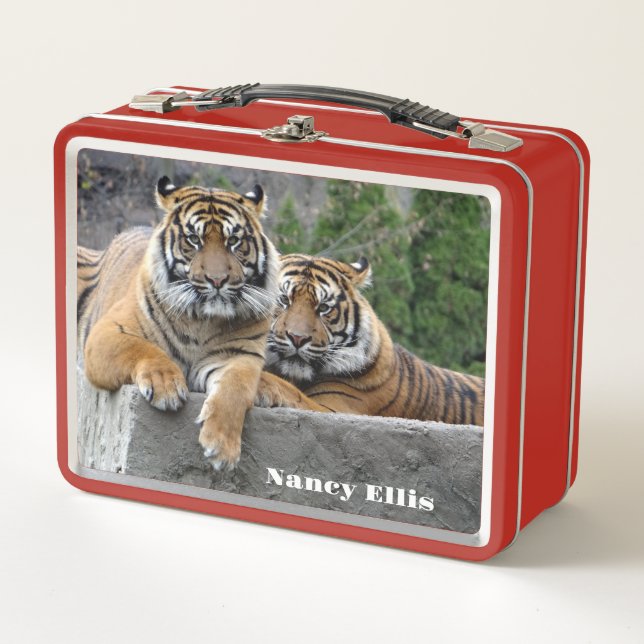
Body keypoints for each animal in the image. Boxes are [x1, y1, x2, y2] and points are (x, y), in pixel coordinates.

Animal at [77, 177, 279, 471]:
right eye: (194, 239)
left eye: (233, 241)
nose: (217, 280)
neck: (204, 319)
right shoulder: (107, 332)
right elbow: (144, 349)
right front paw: (166, 386)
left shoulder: (240, 356)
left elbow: (234, 390)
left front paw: (222, 448)